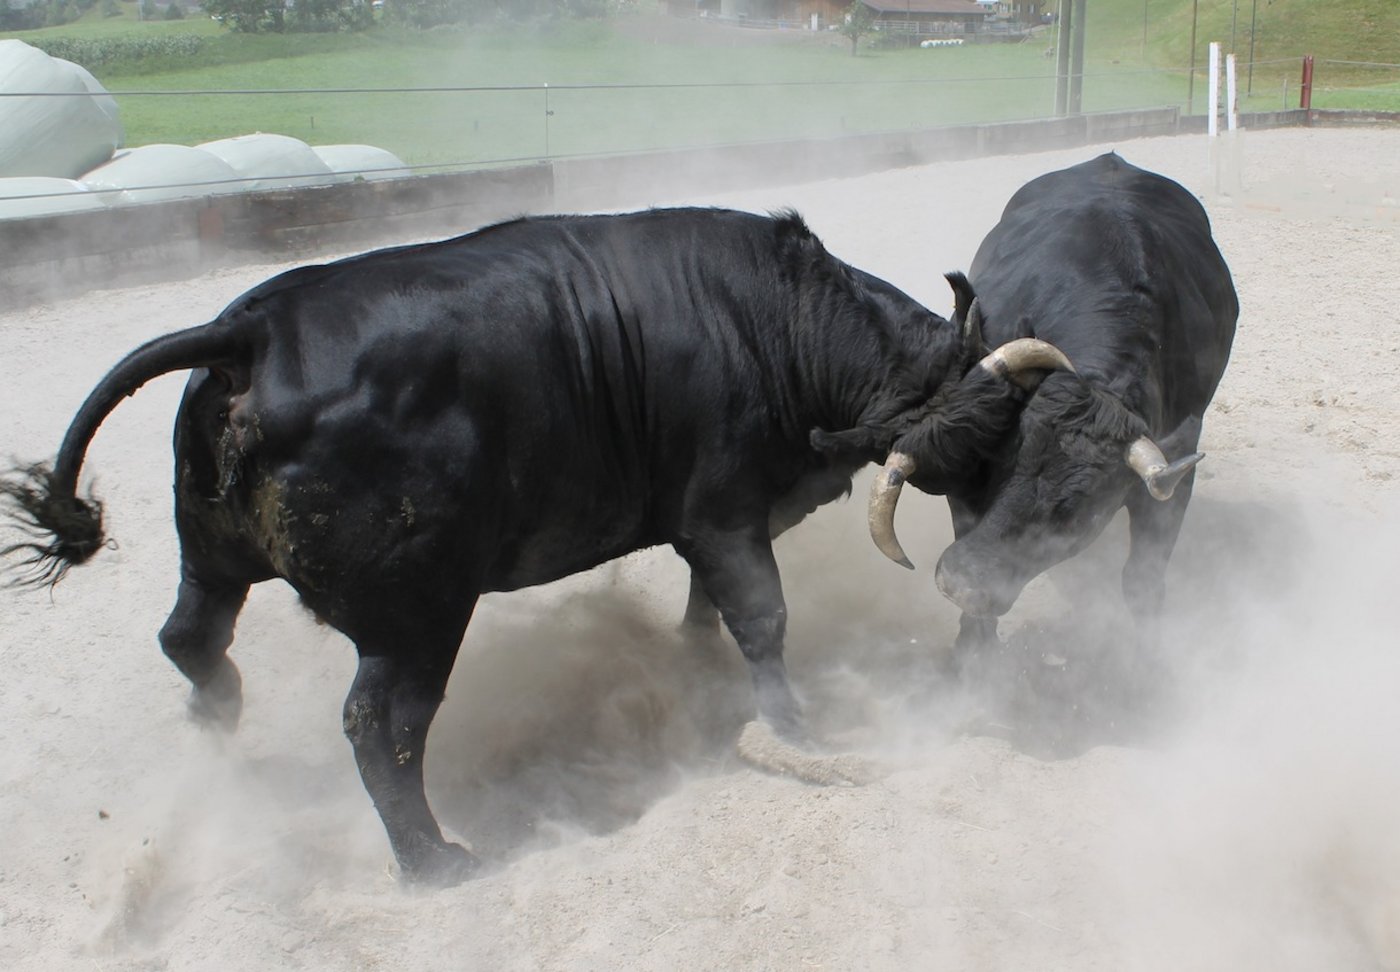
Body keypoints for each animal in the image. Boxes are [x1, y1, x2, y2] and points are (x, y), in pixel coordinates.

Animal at [1, 207, 1067, 886]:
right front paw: (799, 733)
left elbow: (706, 606)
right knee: (379, 724)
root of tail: (249, 332)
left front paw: (693, 663)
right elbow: (762, 619)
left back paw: (216, 739)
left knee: (192, 640)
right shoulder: (725, 513)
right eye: (984, 438)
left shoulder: (704, 528)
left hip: (211, 556)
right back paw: (433, 863)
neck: (776, 323)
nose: (995, 554)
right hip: (419, 615)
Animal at [864, 153, 1238, 670]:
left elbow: (1143, 579)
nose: (962, 582)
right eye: (1000, 466)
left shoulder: (1176, 477)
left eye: (1075, 514)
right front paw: (971, 653)